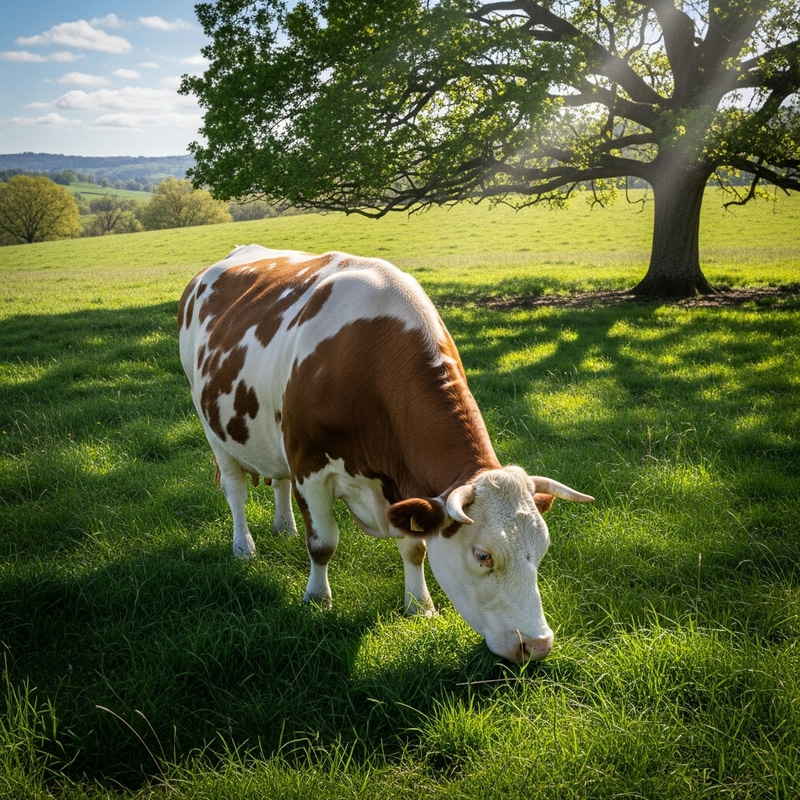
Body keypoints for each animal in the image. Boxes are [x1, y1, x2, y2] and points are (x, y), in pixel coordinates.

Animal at [178, 245, 593, 663]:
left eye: (542, 549)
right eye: (482, 555)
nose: (538, 644)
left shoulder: (402, 484)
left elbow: (415, 548)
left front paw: (419, 605)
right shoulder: (309, 464)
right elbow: (323, 543)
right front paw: (317, 599)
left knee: (278, 479)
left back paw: (284, 527)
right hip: (211, 424)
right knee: (236, 491)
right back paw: (243, 547)